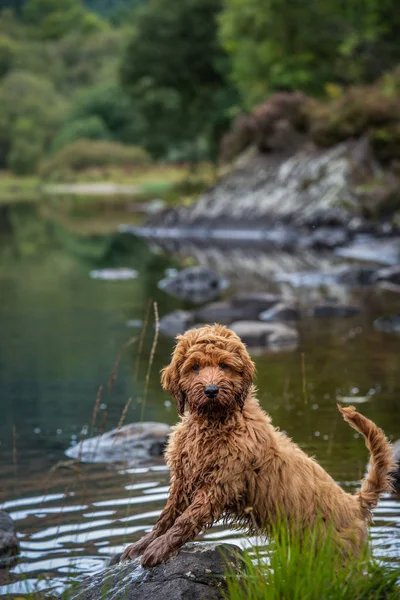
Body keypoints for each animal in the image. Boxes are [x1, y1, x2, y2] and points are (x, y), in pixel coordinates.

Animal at [122, 324, 394, 568]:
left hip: (338, 556)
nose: (211, 390)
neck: (215, 422)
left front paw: (158, 549)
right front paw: (144, 544)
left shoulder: (220, 484)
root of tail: (355, 504)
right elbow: (167, 516)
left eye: (224, 365)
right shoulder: (184, 478)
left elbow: (186, 519)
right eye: (194, 367)